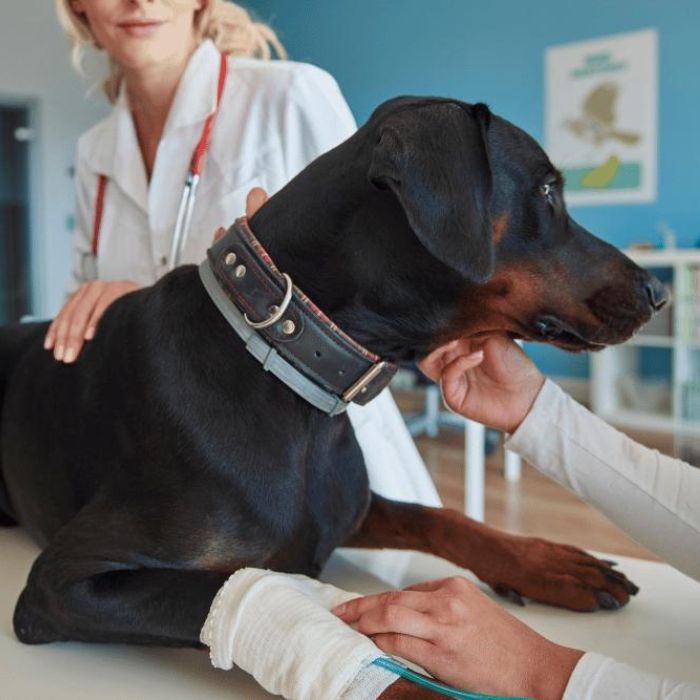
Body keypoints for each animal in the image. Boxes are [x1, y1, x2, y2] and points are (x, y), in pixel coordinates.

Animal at [0, 98, 660, 696]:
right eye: (548, 192)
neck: (289, 370)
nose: (658, 292)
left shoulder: (347, 508)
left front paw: (547, 562)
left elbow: (443, 517)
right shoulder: (65, 582)